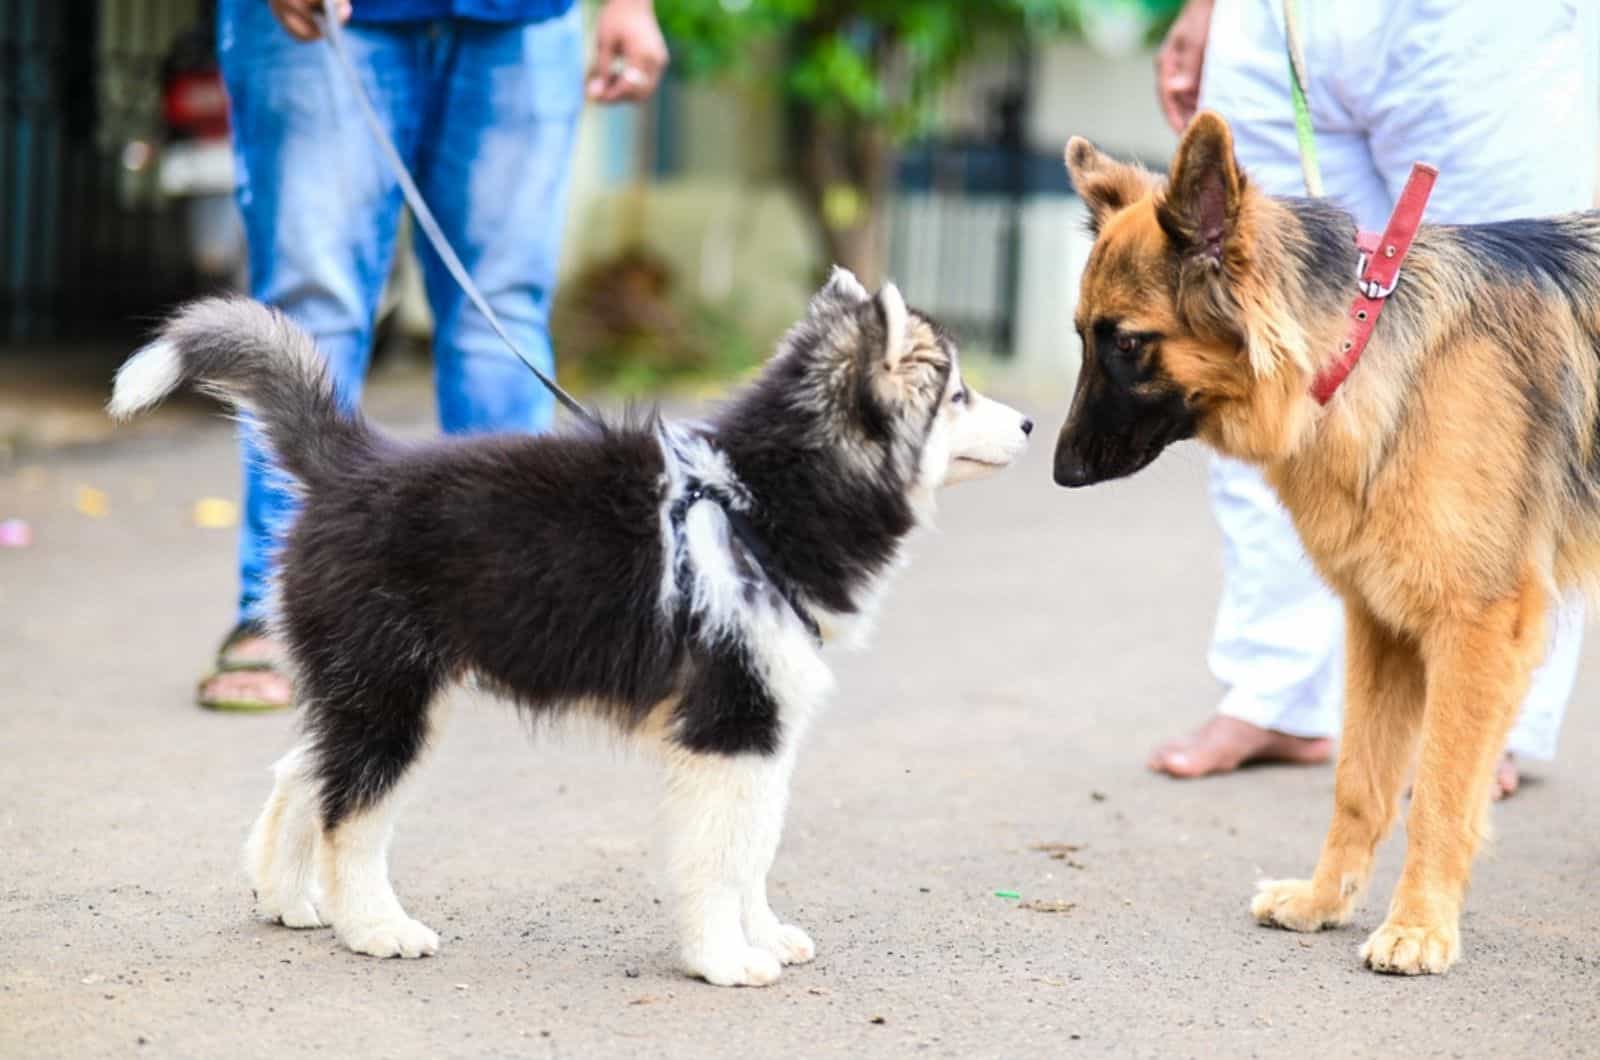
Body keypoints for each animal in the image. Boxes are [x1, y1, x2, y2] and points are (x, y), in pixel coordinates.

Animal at [116, 270, 1036, 992]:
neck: (755, 499)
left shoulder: (762, 732)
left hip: (369, 687)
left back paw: (289, 898)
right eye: (958, 393)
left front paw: (762, 934)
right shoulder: (729, 723)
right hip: (395, 693)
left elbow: (753, 847)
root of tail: (355, 464)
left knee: (304, 771)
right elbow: (718, 856)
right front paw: (723, 958)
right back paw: (374, 926)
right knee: (354, 811)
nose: (1031, 424)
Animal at [1049, 112, 1600, 973]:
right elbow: (1359, 783)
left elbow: (1439, 792)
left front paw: (1419, 926)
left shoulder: (1475, 629)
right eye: (1080, 337)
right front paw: (1323, 900)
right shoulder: (1383, 626)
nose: (1060, 471)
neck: (1356, 344)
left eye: (1129, 343)